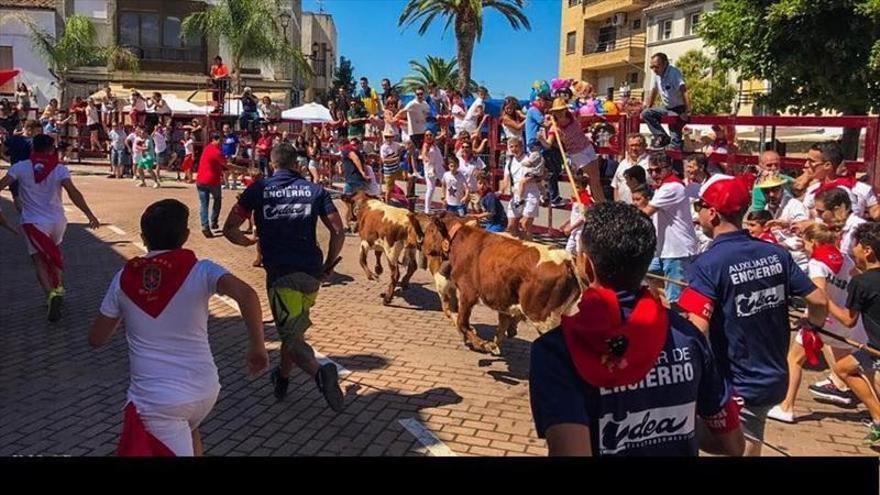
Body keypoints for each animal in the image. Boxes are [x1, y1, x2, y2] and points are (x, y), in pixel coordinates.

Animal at [422, 211, 584, 354]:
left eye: (430, 230)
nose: (422, 244)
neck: (461, 241)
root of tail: (567, 260)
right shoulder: (502, 298)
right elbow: (502, 324)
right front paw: (496, 342)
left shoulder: (468, 294)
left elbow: (463, 323)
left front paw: (484, 344)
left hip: (543, 318)